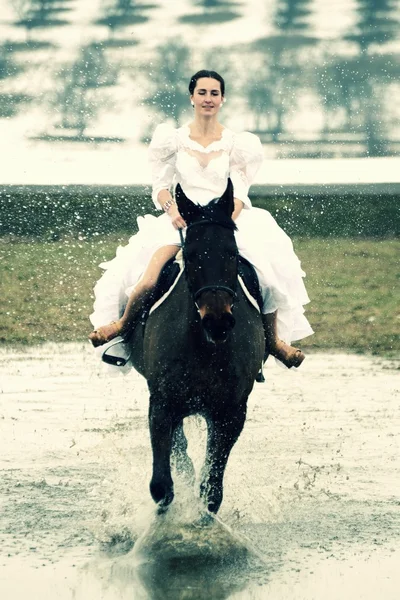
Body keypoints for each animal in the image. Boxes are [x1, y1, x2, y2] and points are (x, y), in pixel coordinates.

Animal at [128, 180, 266, 512]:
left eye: (232, 252)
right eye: (189, 255)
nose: (217, 320)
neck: (206, 348)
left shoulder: (231, 412)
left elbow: (212, 489)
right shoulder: (162, 404)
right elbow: (161, 485)